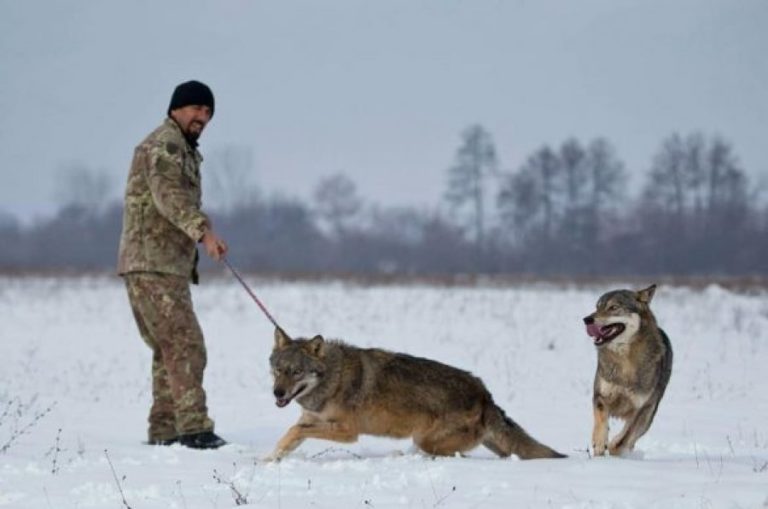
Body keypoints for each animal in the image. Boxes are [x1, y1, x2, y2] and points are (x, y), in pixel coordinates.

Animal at [268, 328, 568, 462]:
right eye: (278, 370)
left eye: (296, 372)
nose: (277, 393)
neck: (333, 378)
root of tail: (485, 394)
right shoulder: (311, 420)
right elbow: (289, 436)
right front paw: (268, 461)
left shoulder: (347, 431)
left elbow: (294, 431)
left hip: (427, 440)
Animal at [584, 284, 672, 454]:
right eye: (597, 307)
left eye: (613, 307)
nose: (587, 319)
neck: (625, 360)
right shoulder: (600, 395)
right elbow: (601, 419)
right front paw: (599, 442)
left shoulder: (642, 408)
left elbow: (626, 435)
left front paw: (614, 446)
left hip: (649, 415)